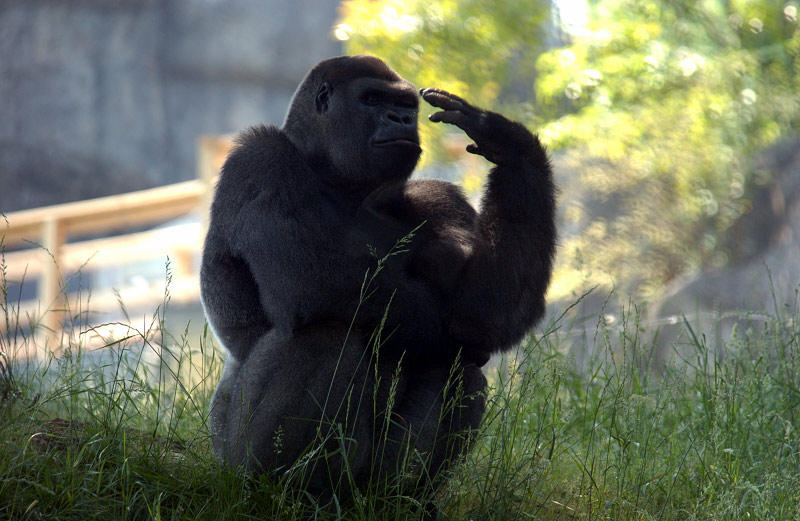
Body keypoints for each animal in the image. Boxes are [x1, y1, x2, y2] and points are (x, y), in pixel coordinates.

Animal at [200, 57, 556, 500]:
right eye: (372, 99)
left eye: (404, 105)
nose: (399, 118)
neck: (342, 184)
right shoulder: (261, 158)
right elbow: (311, 285)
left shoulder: (439, 198)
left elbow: (482, 313)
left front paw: (509, 146)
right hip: (232, 461)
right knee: (326, 336)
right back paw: (293, 486)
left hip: (372, 485)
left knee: (459, 372)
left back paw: (403, 497)